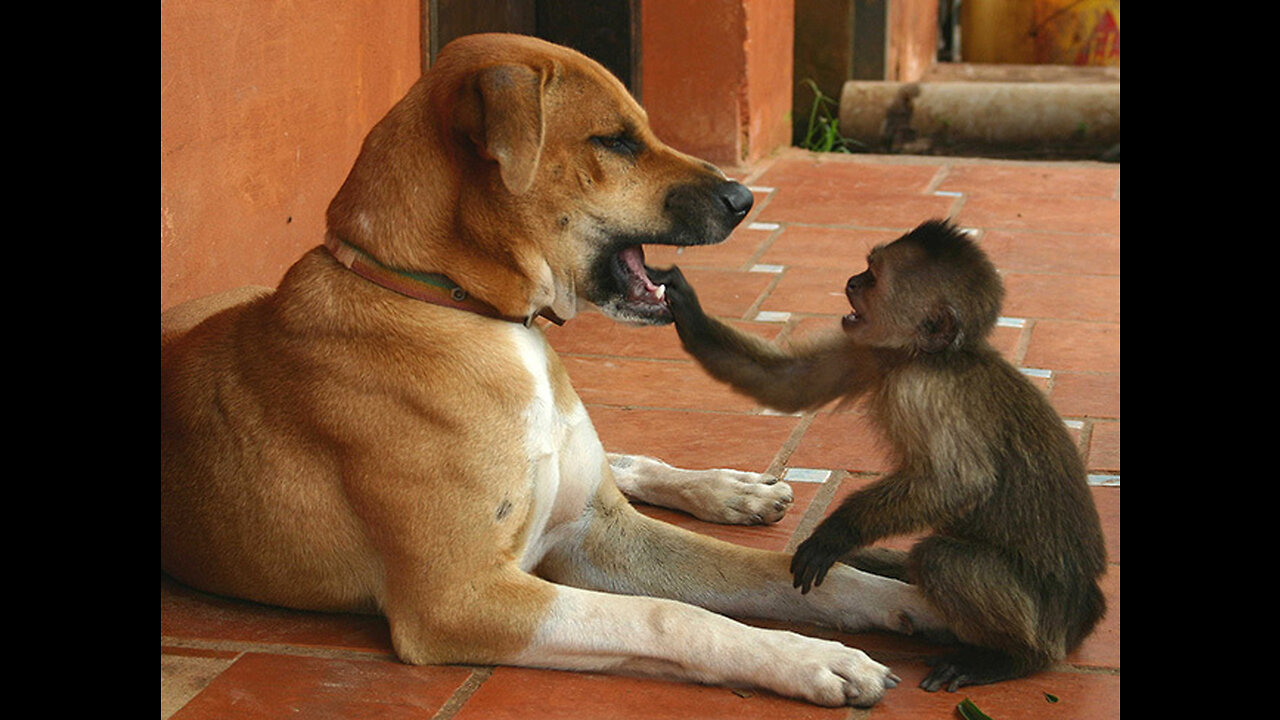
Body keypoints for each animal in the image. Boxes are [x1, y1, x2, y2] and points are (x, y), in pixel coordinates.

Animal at [160, 35, 947, 707]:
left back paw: (729, 490)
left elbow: (785, 574)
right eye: (615, 141)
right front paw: (810, 657)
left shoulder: (599, 537)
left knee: (622, 461)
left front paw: (912, 598)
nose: (742, 199)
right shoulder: (462, 600)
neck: (466, 308)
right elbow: (672, 616)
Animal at [650, 220, 1111, 691]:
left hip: (1046, 615)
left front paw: (837, 533)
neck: (922, 357)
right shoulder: (869, 349)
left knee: (941, 559)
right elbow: (787, 381)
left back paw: (1012, 659)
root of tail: (1085, 611)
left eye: (871, 278)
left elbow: (958, 483)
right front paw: (686, 308)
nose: (852, 281)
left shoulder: (922, 388)